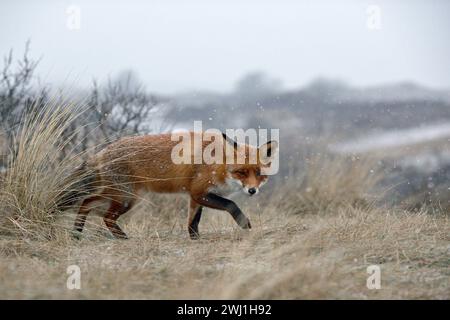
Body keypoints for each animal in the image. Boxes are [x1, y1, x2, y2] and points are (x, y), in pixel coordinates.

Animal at [62, 131, 278, 239]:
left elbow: (193, 222)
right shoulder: (199, 191)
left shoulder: (195, 196)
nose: (252, 190)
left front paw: (195, 239)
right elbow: (231, 204)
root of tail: (102, 152)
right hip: (125, 198)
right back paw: (123, 238)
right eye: (241, 172)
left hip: (121, 196)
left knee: (87, 203)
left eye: (259, 173)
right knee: (104, 216)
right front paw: (244, 223)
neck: (218, 164)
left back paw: (76, 233)